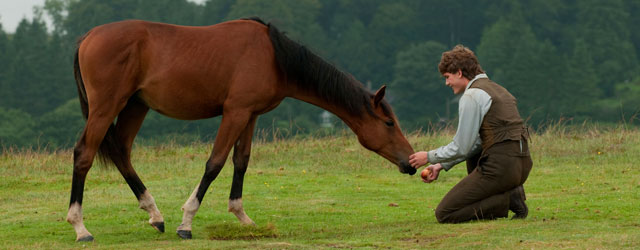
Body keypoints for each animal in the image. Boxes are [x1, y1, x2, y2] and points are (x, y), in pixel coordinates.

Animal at [66, 16, 416, 241]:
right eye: (389, 123)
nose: (410, 162)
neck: (273, 56)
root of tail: (86, 38)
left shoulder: (251, 115)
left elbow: (241, 161)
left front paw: (242, 216)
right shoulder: (235, 113)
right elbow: (215, 163)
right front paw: (187, 221)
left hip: (135, 106)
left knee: (122, 153)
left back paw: (155, 214)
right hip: (106, 107)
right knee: (84, 154)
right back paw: (80, 227)